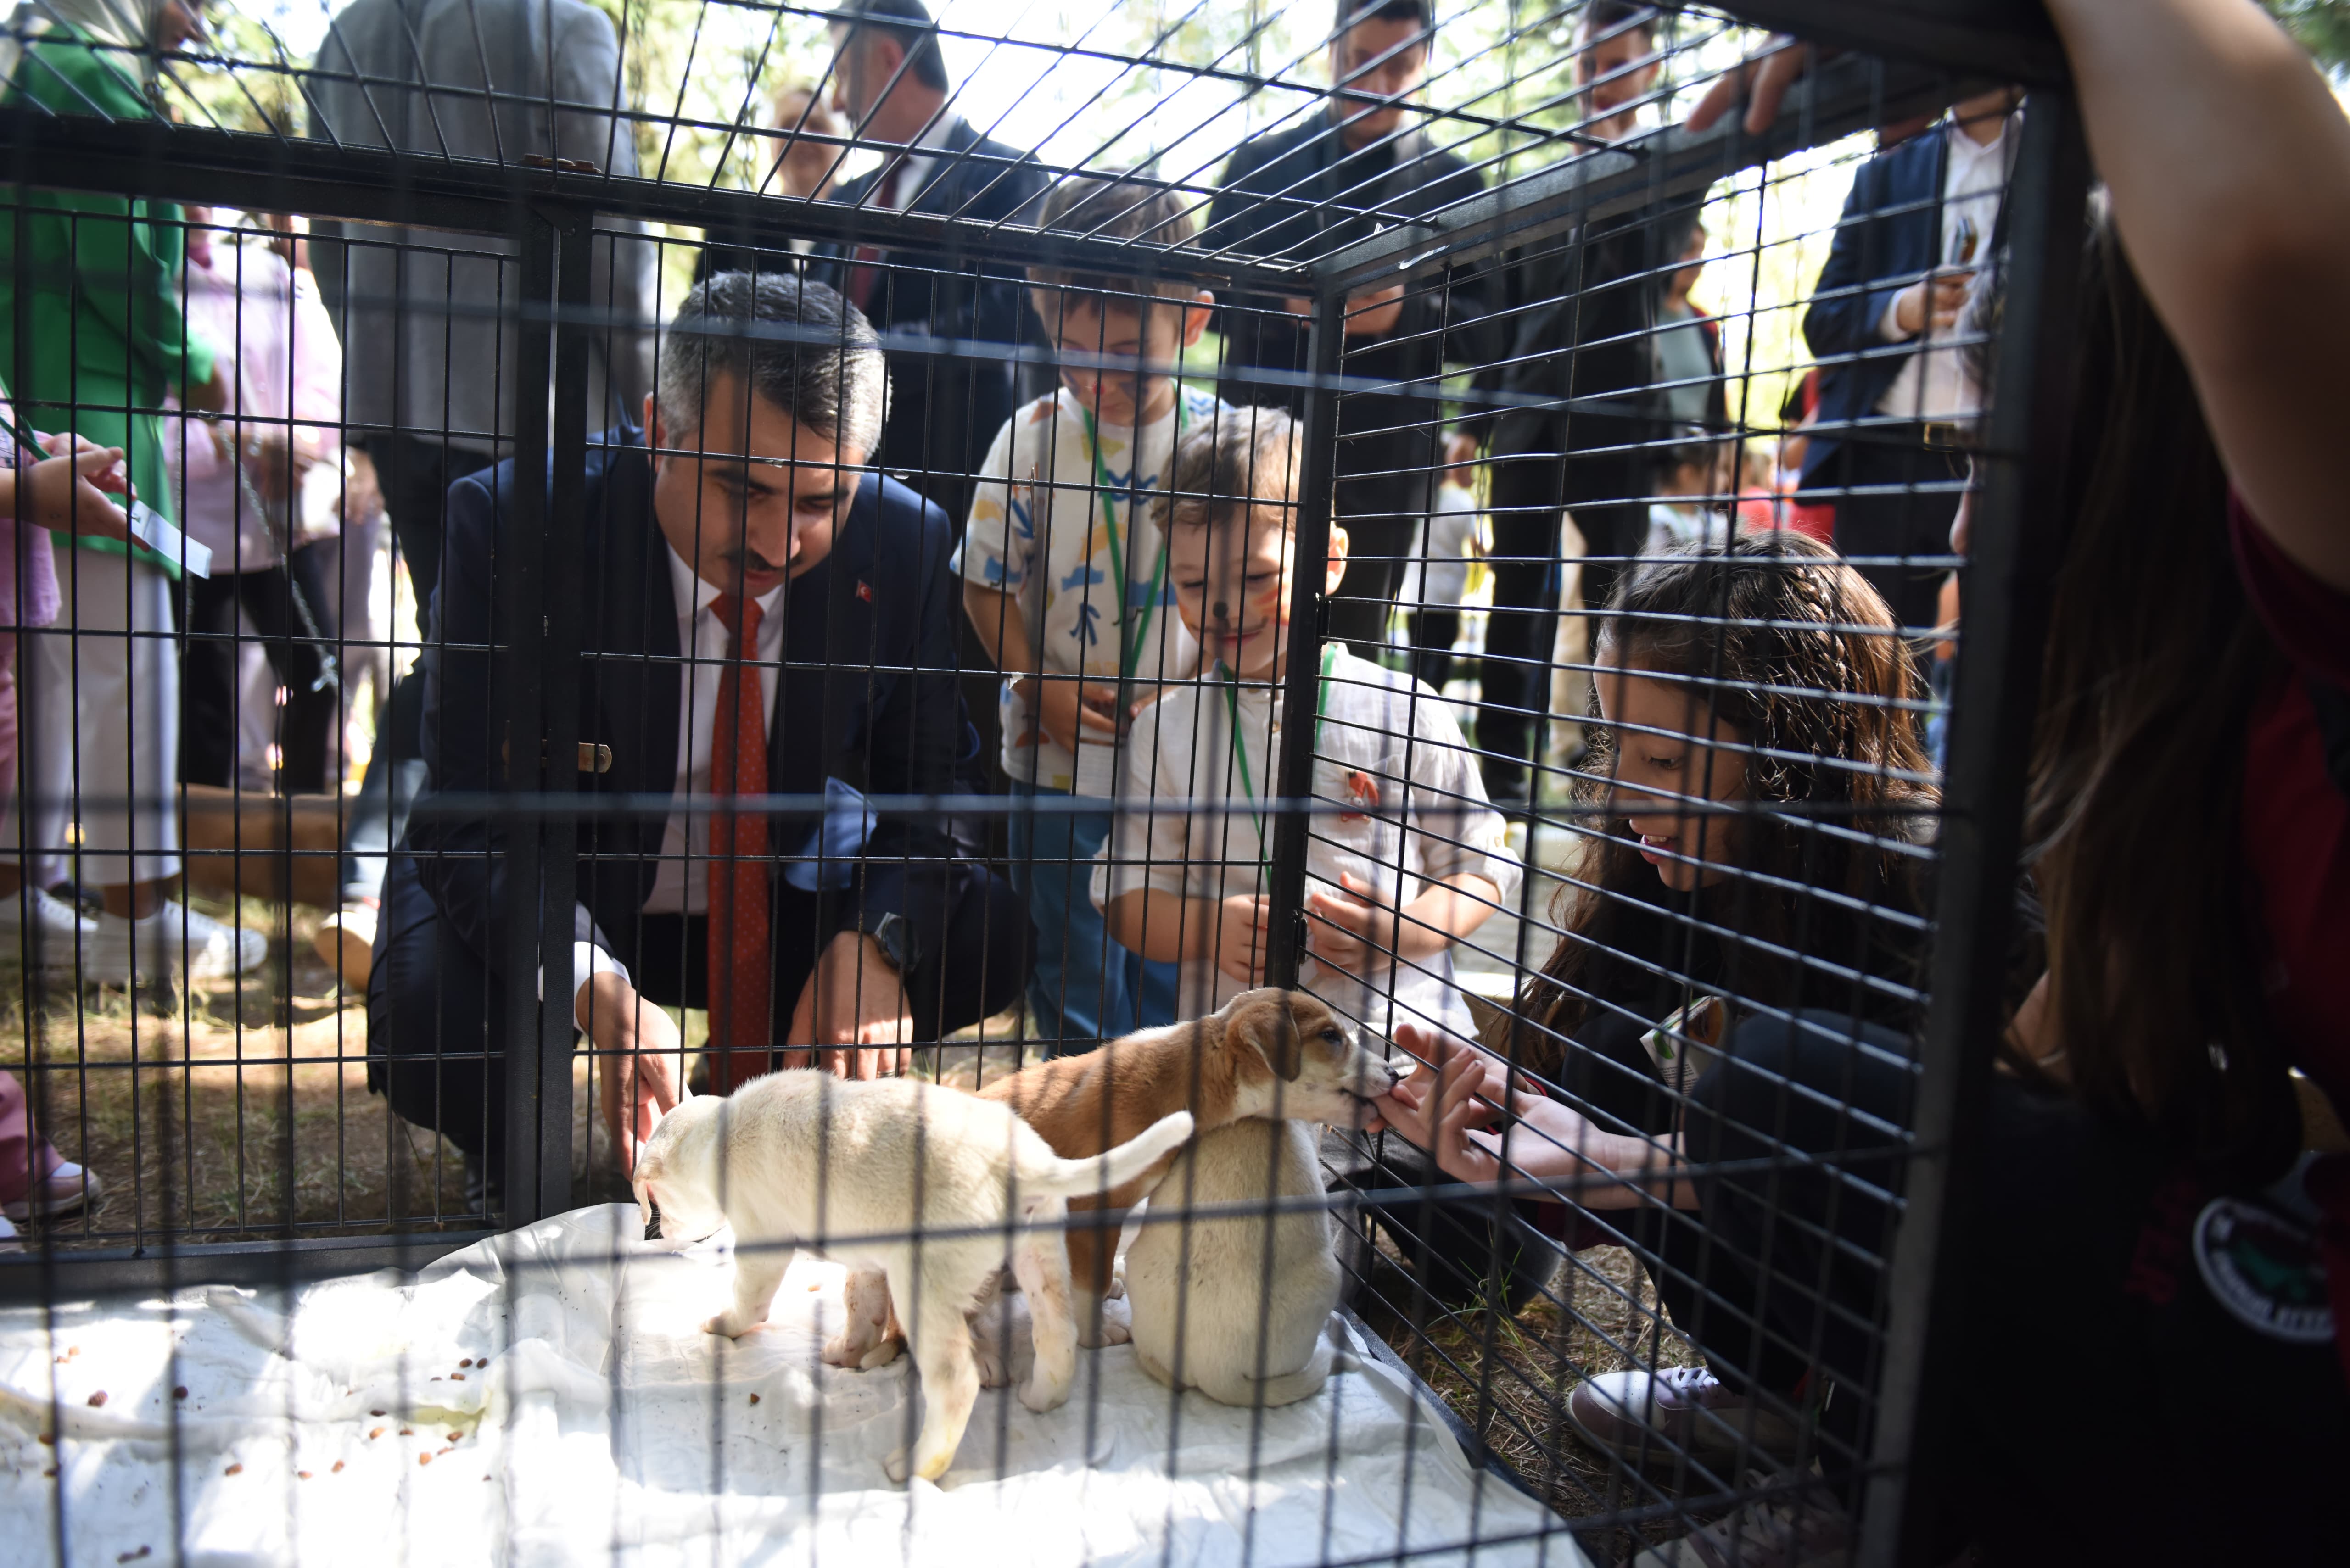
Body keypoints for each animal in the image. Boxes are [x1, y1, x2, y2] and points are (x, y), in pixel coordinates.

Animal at [634, 1072, 1193, 1495]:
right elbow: (861, 1307)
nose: (660, 1234)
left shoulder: (762, 1240)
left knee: (957, 1385)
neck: (720, 1133)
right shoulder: (867, 1262)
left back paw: (916, 1466)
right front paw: (846, 1350)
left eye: (656, 1200)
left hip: (927, 1288)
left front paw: (721, 1324)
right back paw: (1041, 1398)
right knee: (1058, 1339)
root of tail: (1026, 1164)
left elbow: (750, 1301)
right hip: (1040, 1259)